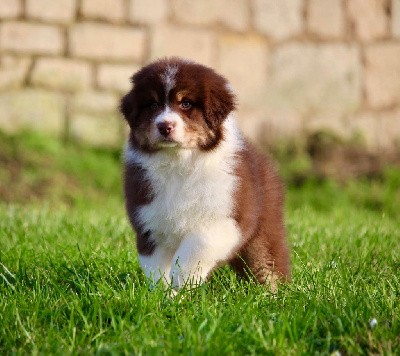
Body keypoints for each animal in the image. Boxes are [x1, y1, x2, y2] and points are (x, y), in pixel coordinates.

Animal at [120, 57, 290, 292]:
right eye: (153, 105)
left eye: (186, 104)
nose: (164, 126)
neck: (179, 163)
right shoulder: (150, 221)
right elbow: (156, 267)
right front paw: (164, 295)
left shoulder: (226, 218)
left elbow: (194, 247)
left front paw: (181, 283)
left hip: (264, 228)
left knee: (267, 263)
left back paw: (273, 295)